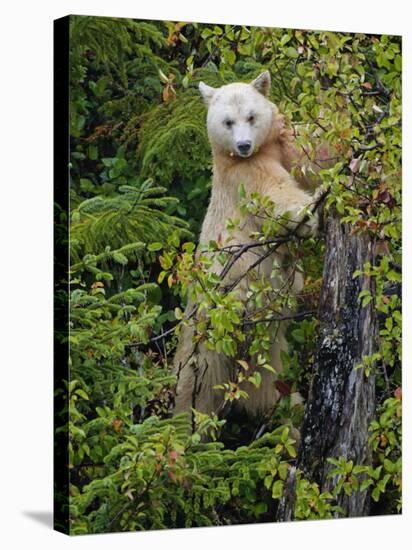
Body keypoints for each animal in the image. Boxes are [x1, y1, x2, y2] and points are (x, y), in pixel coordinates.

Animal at [172, 71, 318, 420]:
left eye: (251, 116)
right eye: (227, 121)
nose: (243, 145)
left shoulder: (279, 143)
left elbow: (310, 150)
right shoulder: (242, 174)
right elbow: (273, 192)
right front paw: (307, 216)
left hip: (265, 347)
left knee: (269, 383)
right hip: (208, 331)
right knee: (194, 386)